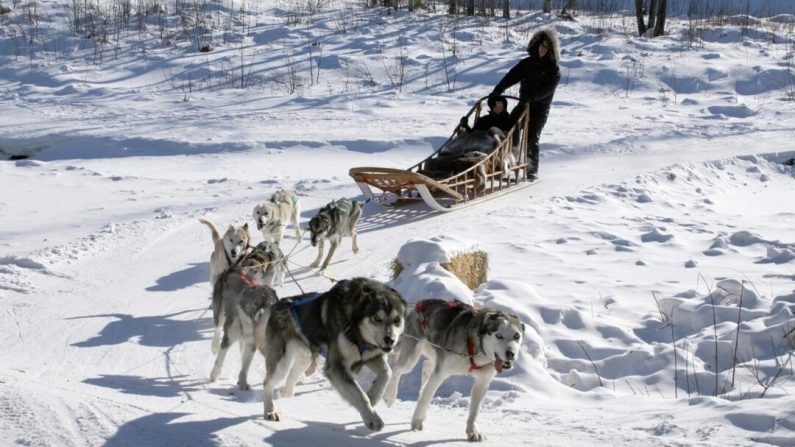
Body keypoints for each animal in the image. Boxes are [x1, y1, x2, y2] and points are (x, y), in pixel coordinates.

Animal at [262, 278, 408, 432]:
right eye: (377, 318)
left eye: (397, 320)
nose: (390, 339)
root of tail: (280, 303)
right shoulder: (337, 367)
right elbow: (359, 394)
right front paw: (372, 418)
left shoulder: (371, 356)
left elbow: (387, 373)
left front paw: (374, 396)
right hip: (281, 364)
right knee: (268, 382)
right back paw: (269, 411)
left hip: (305, 358)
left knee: (292, 376)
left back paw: (286, 392)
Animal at [384, 300, 524, 442]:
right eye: (499, 335)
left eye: (517, 336)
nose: (511, 353)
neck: (475, 347)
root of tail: (420, 304)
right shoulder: (440, 374)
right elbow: (425, 399)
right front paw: (417, 421)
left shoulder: (482, 382)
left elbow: (475, 410)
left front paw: (472, 431)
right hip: (411, 358)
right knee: (397, 370)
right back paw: (390, 396)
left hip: (435, 353)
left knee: (426, 366)